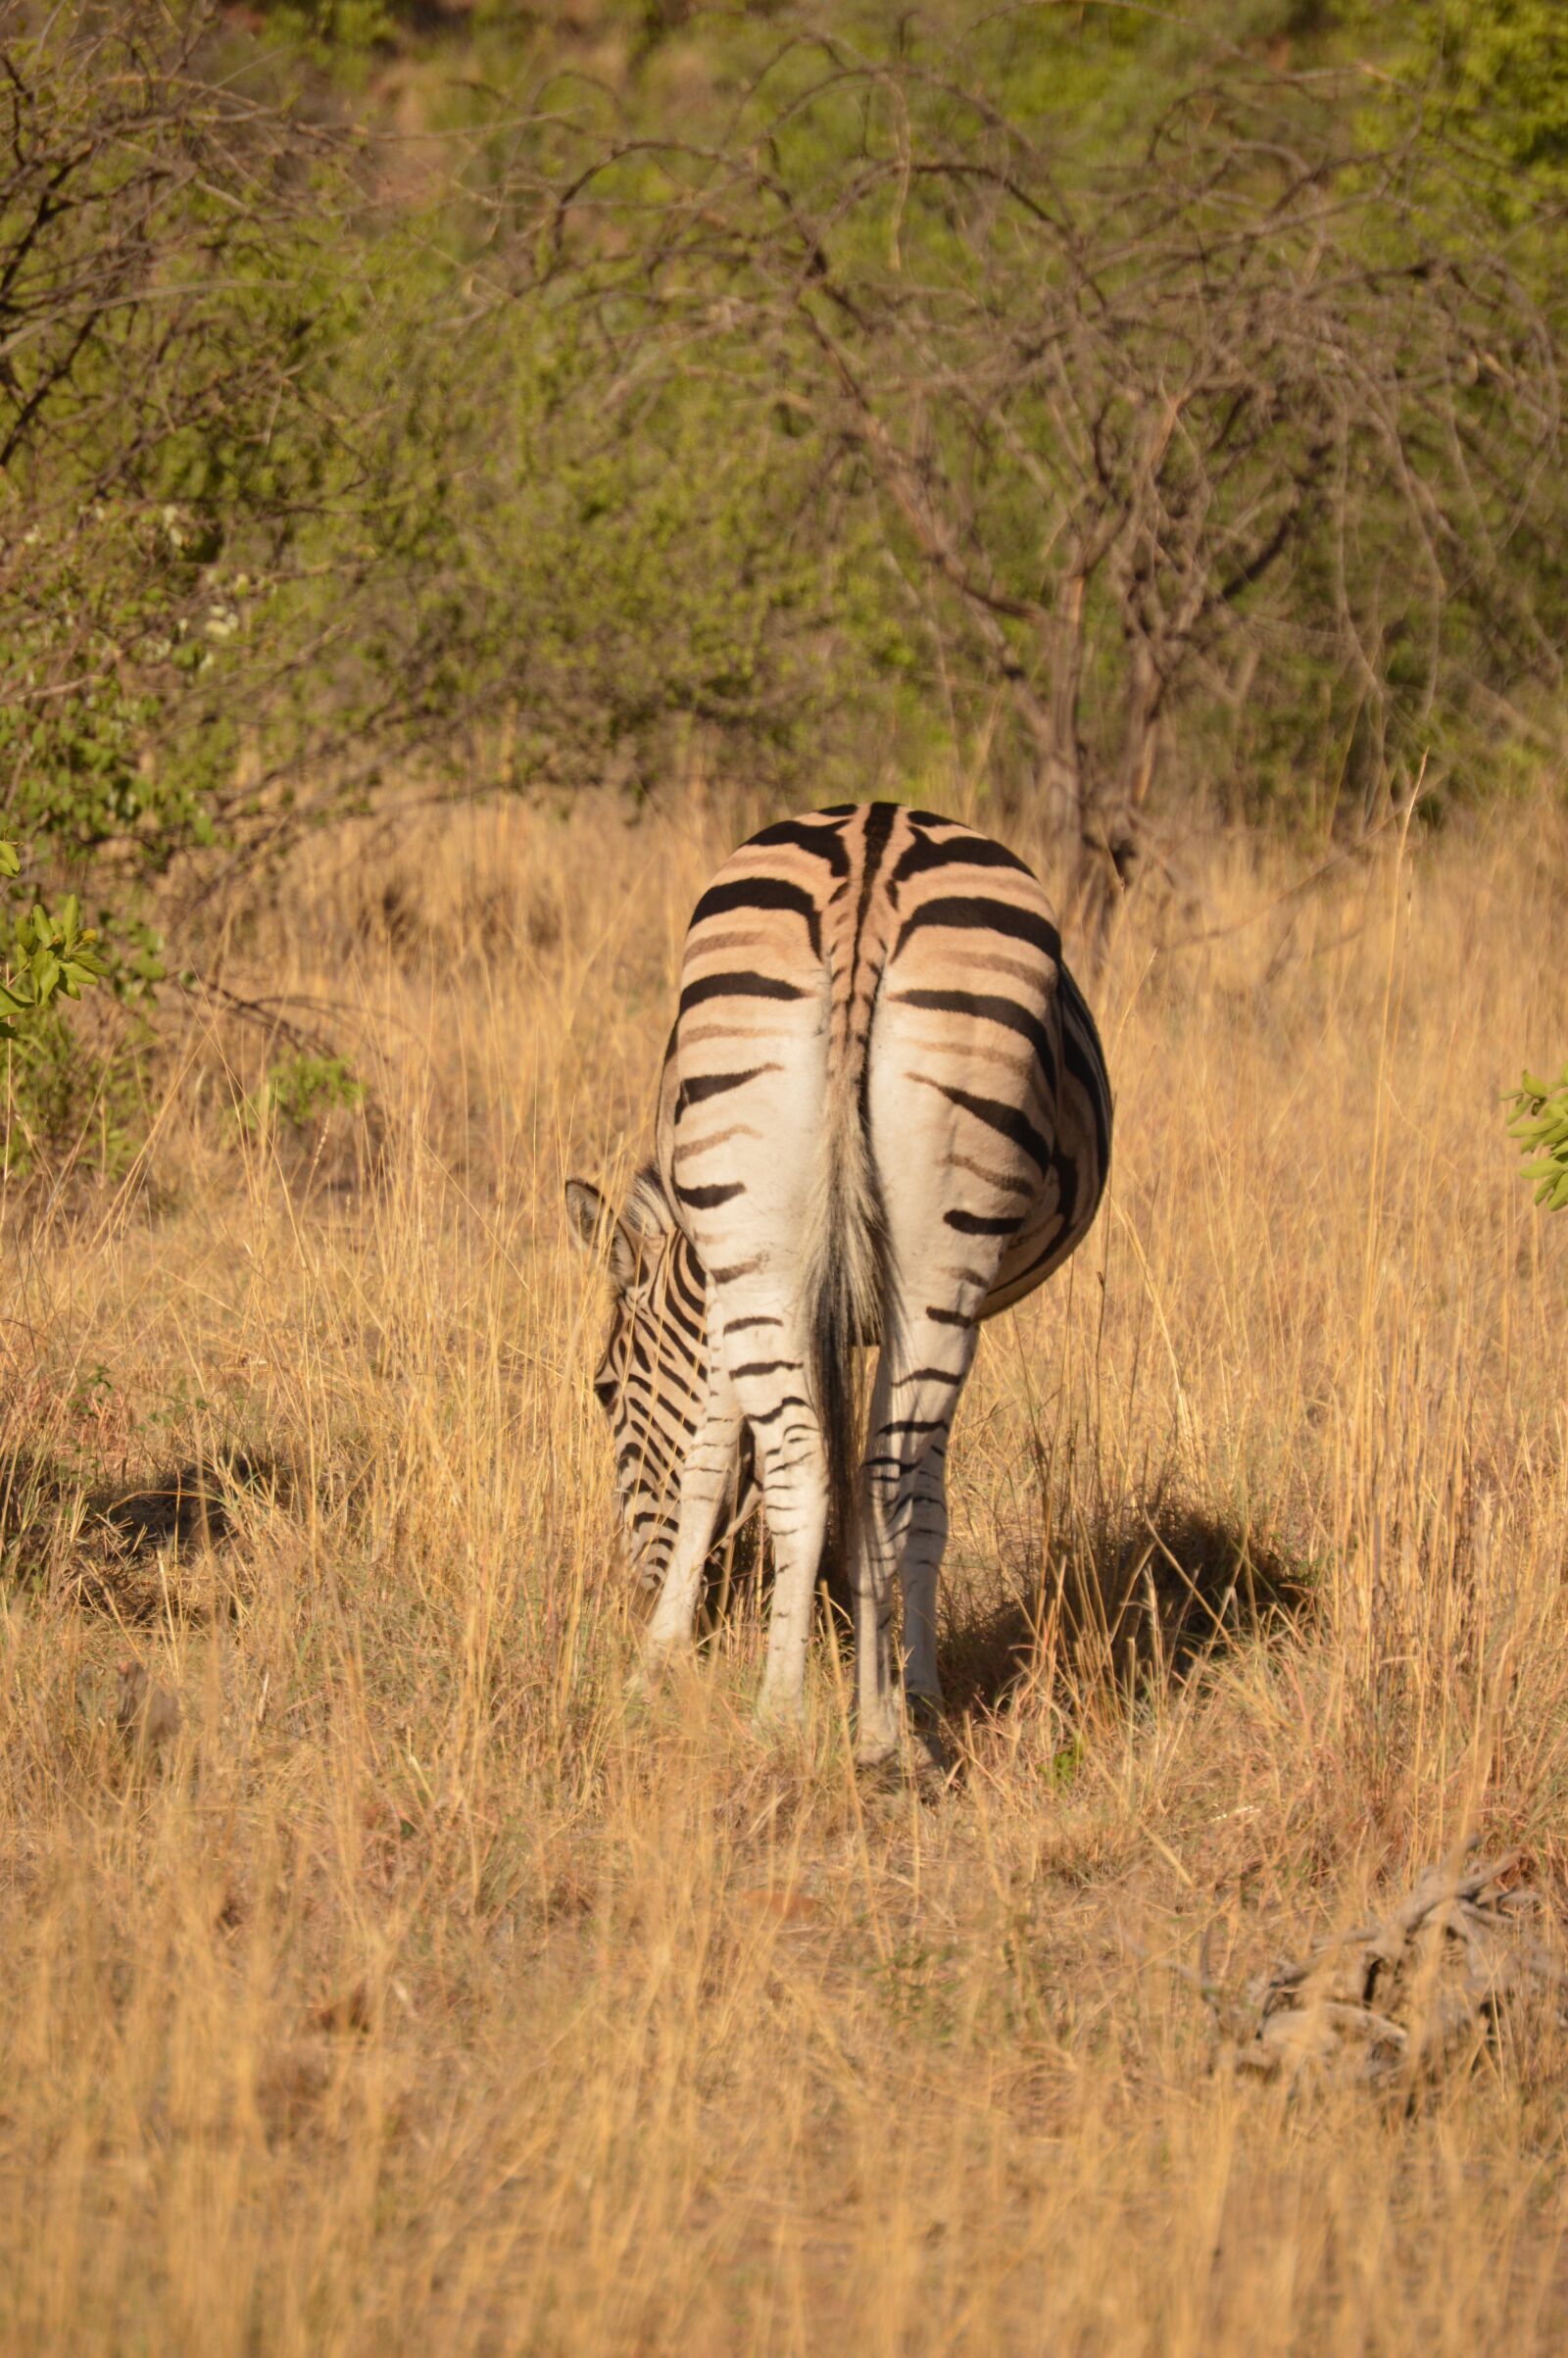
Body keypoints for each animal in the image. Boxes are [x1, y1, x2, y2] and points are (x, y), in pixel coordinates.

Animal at [566, 801, 1111, 1764]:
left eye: (603, 1389)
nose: (634, 1586)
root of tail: (873, 847)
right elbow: (912, 1499)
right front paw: (912, 1691)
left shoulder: (722, 1295)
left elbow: (707, 1463)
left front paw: (650, 1666)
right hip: (931, 1264)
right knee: (877, 1476)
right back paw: (874, 1732)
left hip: (780, 1248)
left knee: (817, 1463)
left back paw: (799, 1721)